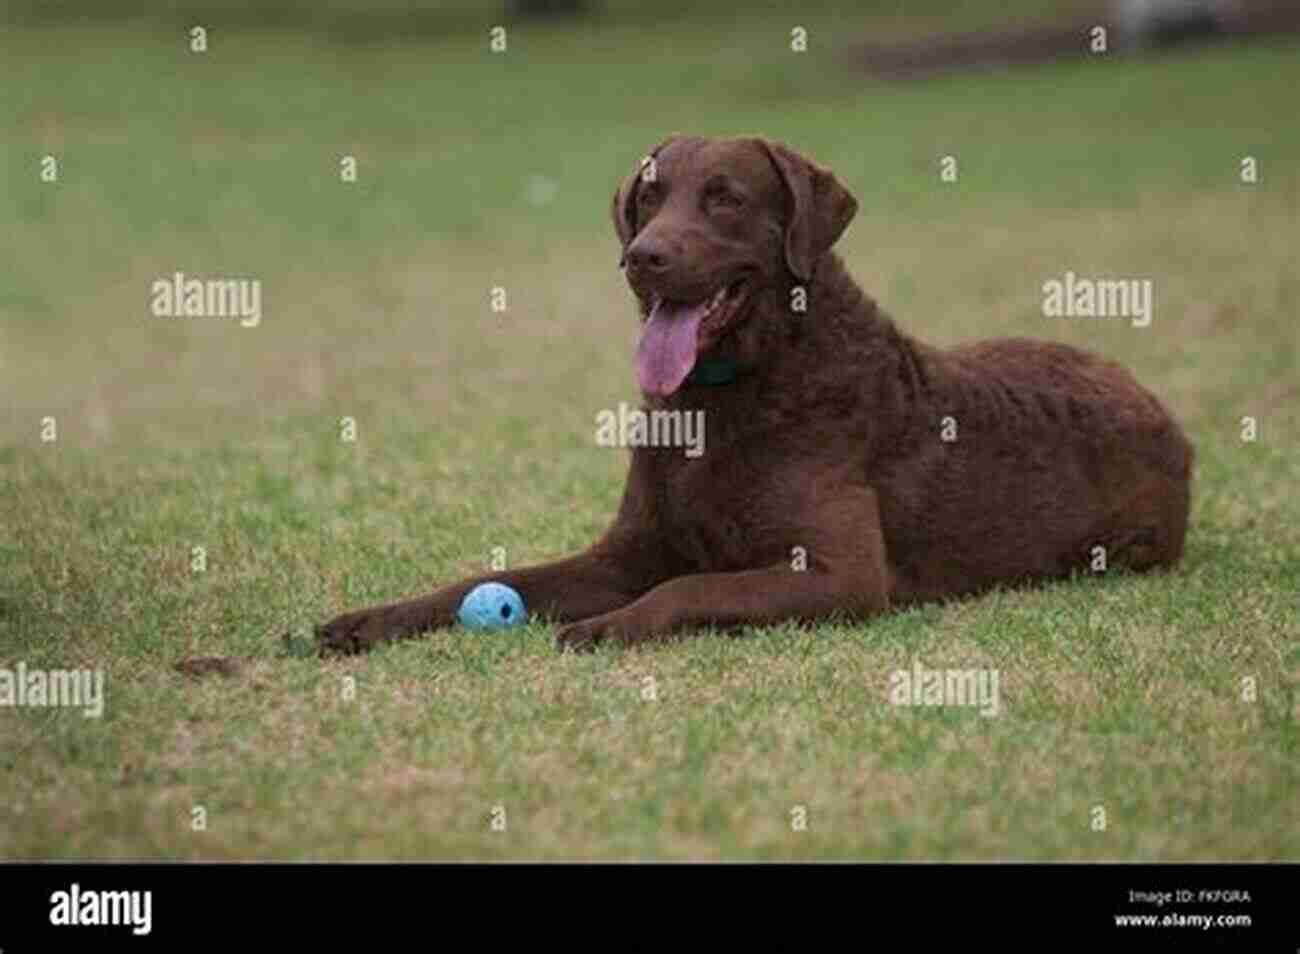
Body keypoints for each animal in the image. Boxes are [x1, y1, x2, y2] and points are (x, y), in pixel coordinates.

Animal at [314, 134, 1190, 655]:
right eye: (647, 197)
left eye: (726, 198)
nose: (642, 255)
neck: (729, 397)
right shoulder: (623, 551)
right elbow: (483, 581)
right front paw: (368, 620)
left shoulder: (841, 574)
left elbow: (688, 585)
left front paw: (606, 627)